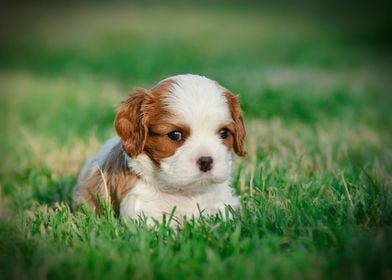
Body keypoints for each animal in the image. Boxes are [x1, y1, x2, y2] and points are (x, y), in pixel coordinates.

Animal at [72, 74, 247, 223]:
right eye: (175, 135)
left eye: (224, 133)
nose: (206, 161)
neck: (187, 192)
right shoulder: (143, 210)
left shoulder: (221, 204)